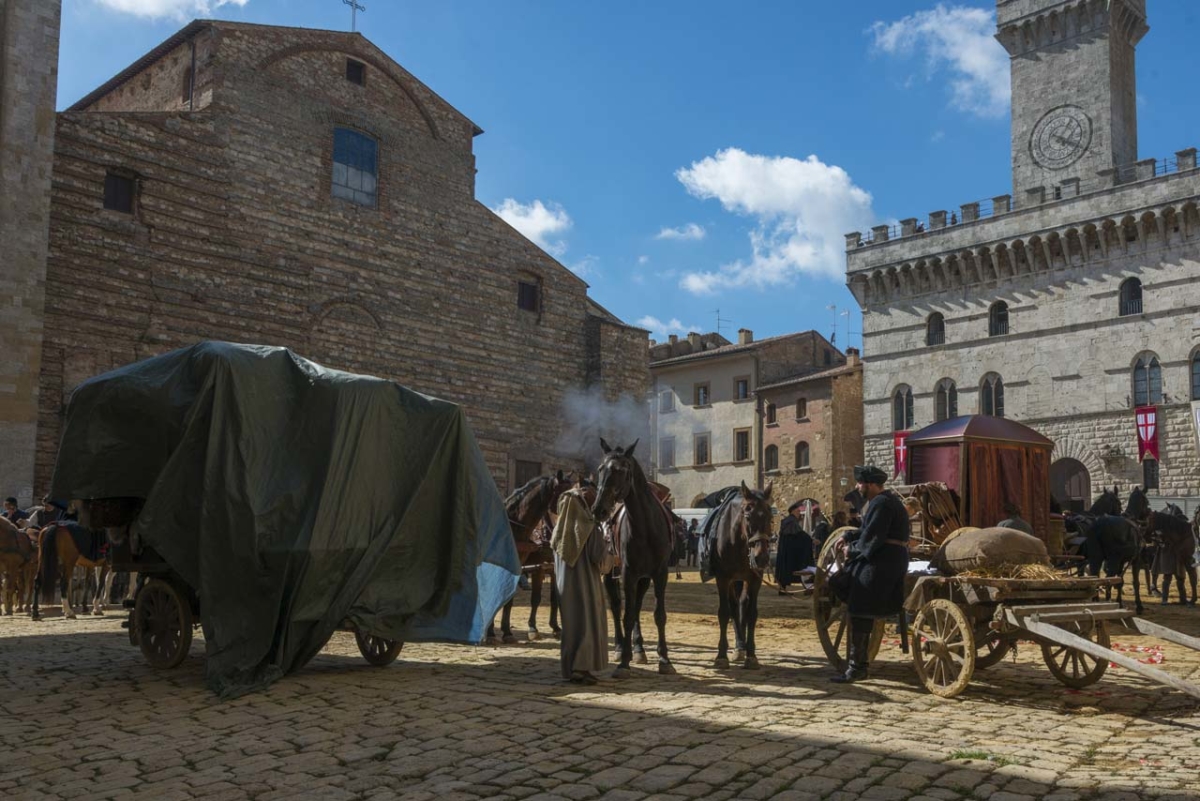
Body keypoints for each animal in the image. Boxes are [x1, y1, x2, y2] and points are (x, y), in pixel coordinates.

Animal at [590, 438, 676, 676]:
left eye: (620, 470)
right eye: (600, 469)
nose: (598, 509)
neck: (646, 526)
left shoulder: (659, 574)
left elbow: (658, 614)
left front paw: (664, 659)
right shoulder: (627, 573)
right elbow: (626, 615)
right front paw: (624, 662)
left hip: (643, 578)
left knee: (636, 606)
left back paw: (638, 648)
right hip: (611, 574)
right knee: (617, 606)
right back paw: (621, 647)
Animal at [705, 482, 772, 671]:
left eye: (770, 516)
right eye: (747, 515)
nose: (761, 557)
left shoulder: (755, 579)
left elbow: (751, 614)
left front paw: (751, 655)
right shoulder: (723, 578)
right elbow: (724, 613)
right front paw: (721, 656)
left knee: (741, 605)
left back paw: (741, 647)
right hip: (732, 581)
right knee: (734, 608)